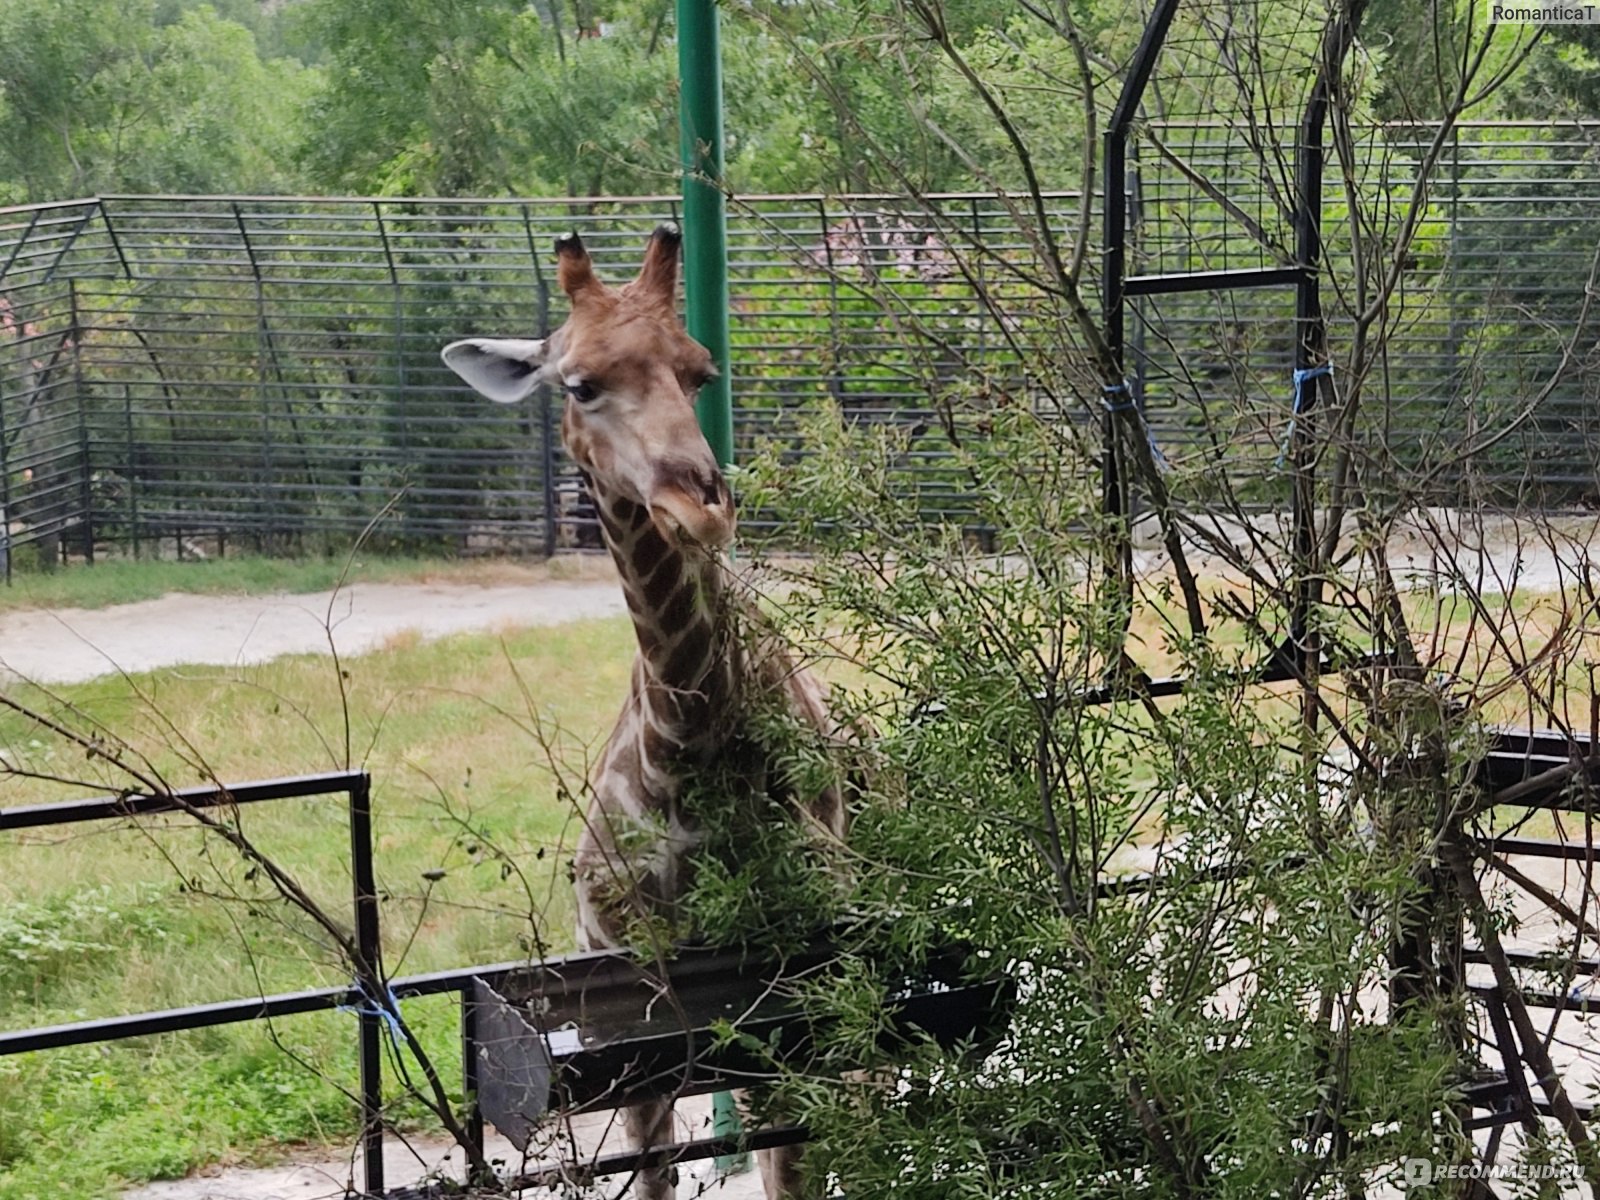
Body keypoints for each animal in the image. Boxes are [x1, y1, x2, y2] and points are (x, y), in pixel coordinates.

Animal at [438, 224, 851, 1196]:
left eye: (699, 372)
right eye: (579, 384)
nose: (699, 505)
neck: (684, 747)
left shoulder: (794, 988)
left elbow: (790, 1165)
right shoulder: (637, 1000)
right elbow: (657, 1166)